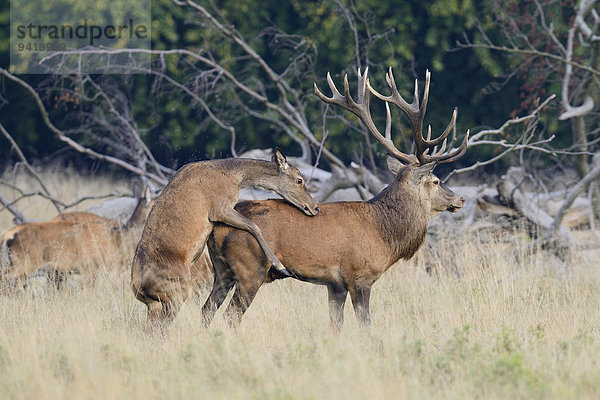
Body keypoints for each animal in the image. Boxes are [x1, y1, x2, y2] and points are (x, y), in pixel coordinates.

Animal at [130, 148, 318, 326]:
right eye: (299, 180)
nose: (315, 208)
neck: (235, 177)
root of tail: (138, 286)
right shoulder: (219, 208)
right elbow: (254, 226)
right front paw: (280, 266)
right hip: (177, 290)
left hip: (154, 303)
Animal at [204, 68, 472, 332]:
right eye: (435, 181)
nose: (460, 199)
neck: (384, 234)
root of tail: (216, 228)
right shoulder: (359, 275)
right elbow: (365, 324)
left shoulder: (335, 284)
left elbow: (336, 324)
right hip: (250, 267)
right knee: (231, 315)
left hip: (222, 270)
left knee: (207, 310)